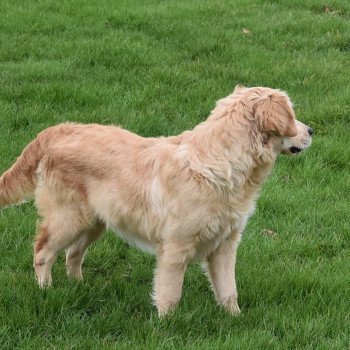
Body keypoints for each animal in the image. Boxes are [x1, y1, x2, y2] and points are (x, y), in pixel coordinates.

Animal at [0, 86, 312, 316]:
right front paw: (167, 325)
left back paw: (79, 286)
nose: (311, 131)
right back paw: (45, 290)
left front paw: (235, 319)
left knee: (72, 254)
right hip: (69, 219)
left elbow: (228, 290)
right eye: (291, 115)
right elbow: (170, 293)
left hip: (95, 222)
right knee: (43, 252)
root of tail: (57, 130)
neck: (219, 165)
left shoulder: (225, 243)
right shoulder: (175, 247)